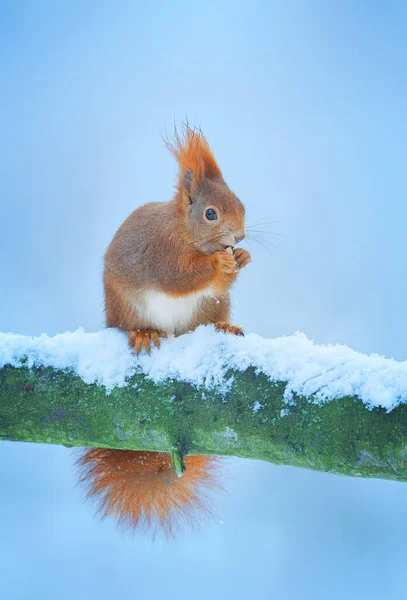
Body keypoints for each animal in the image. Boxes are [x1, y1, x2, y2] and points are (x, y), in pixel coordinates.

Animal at [75, 125, 250, 536]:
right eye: (211, 213)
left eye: (242, 203)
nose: (239, 237)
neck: (184, 232)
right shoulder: (162, 253)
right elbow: (179, 277)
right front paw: (219, 264)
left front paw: (242, 259)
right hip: (126, 307)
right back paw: (144, 334)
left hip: (208, 308)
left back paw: (224, 326)